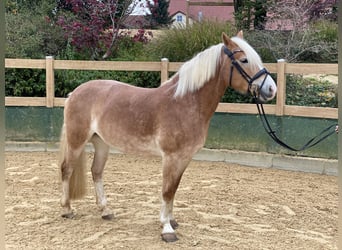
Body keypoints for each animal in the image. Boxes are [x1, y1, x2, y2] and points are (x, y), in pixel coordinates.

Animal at [59, 30, 278, 242]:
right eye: (244, 60)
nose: (271, 89)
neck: (185, 102)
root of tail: (74, 93)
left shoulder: (184, 157)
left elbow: (174, 189)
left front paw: (172, 221)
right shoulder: (171, 157)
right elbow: (166, 190)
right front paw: (166, 229)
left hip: (102, 143)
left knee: (96, 172)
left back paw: (106, 210)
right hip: (76, 141)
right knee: (67, 169)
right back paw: (67, 209)